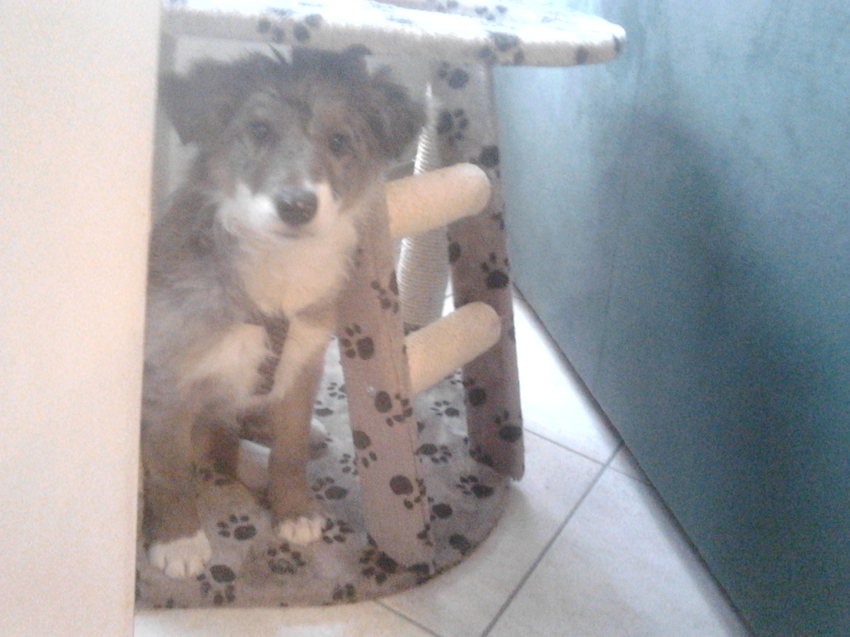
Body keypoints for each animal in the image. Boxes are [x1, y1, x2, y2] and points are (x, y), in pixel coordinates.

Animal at [142, 48, 423, 578]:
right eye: (259, 131)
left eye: (339, 141)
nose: (296, 206)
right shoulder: (166, 383)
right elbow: (170, 470)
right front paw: (180, 540)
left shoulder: (302, 364)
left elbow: (289, 453)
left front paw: (294, 509)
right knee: (211, 443)